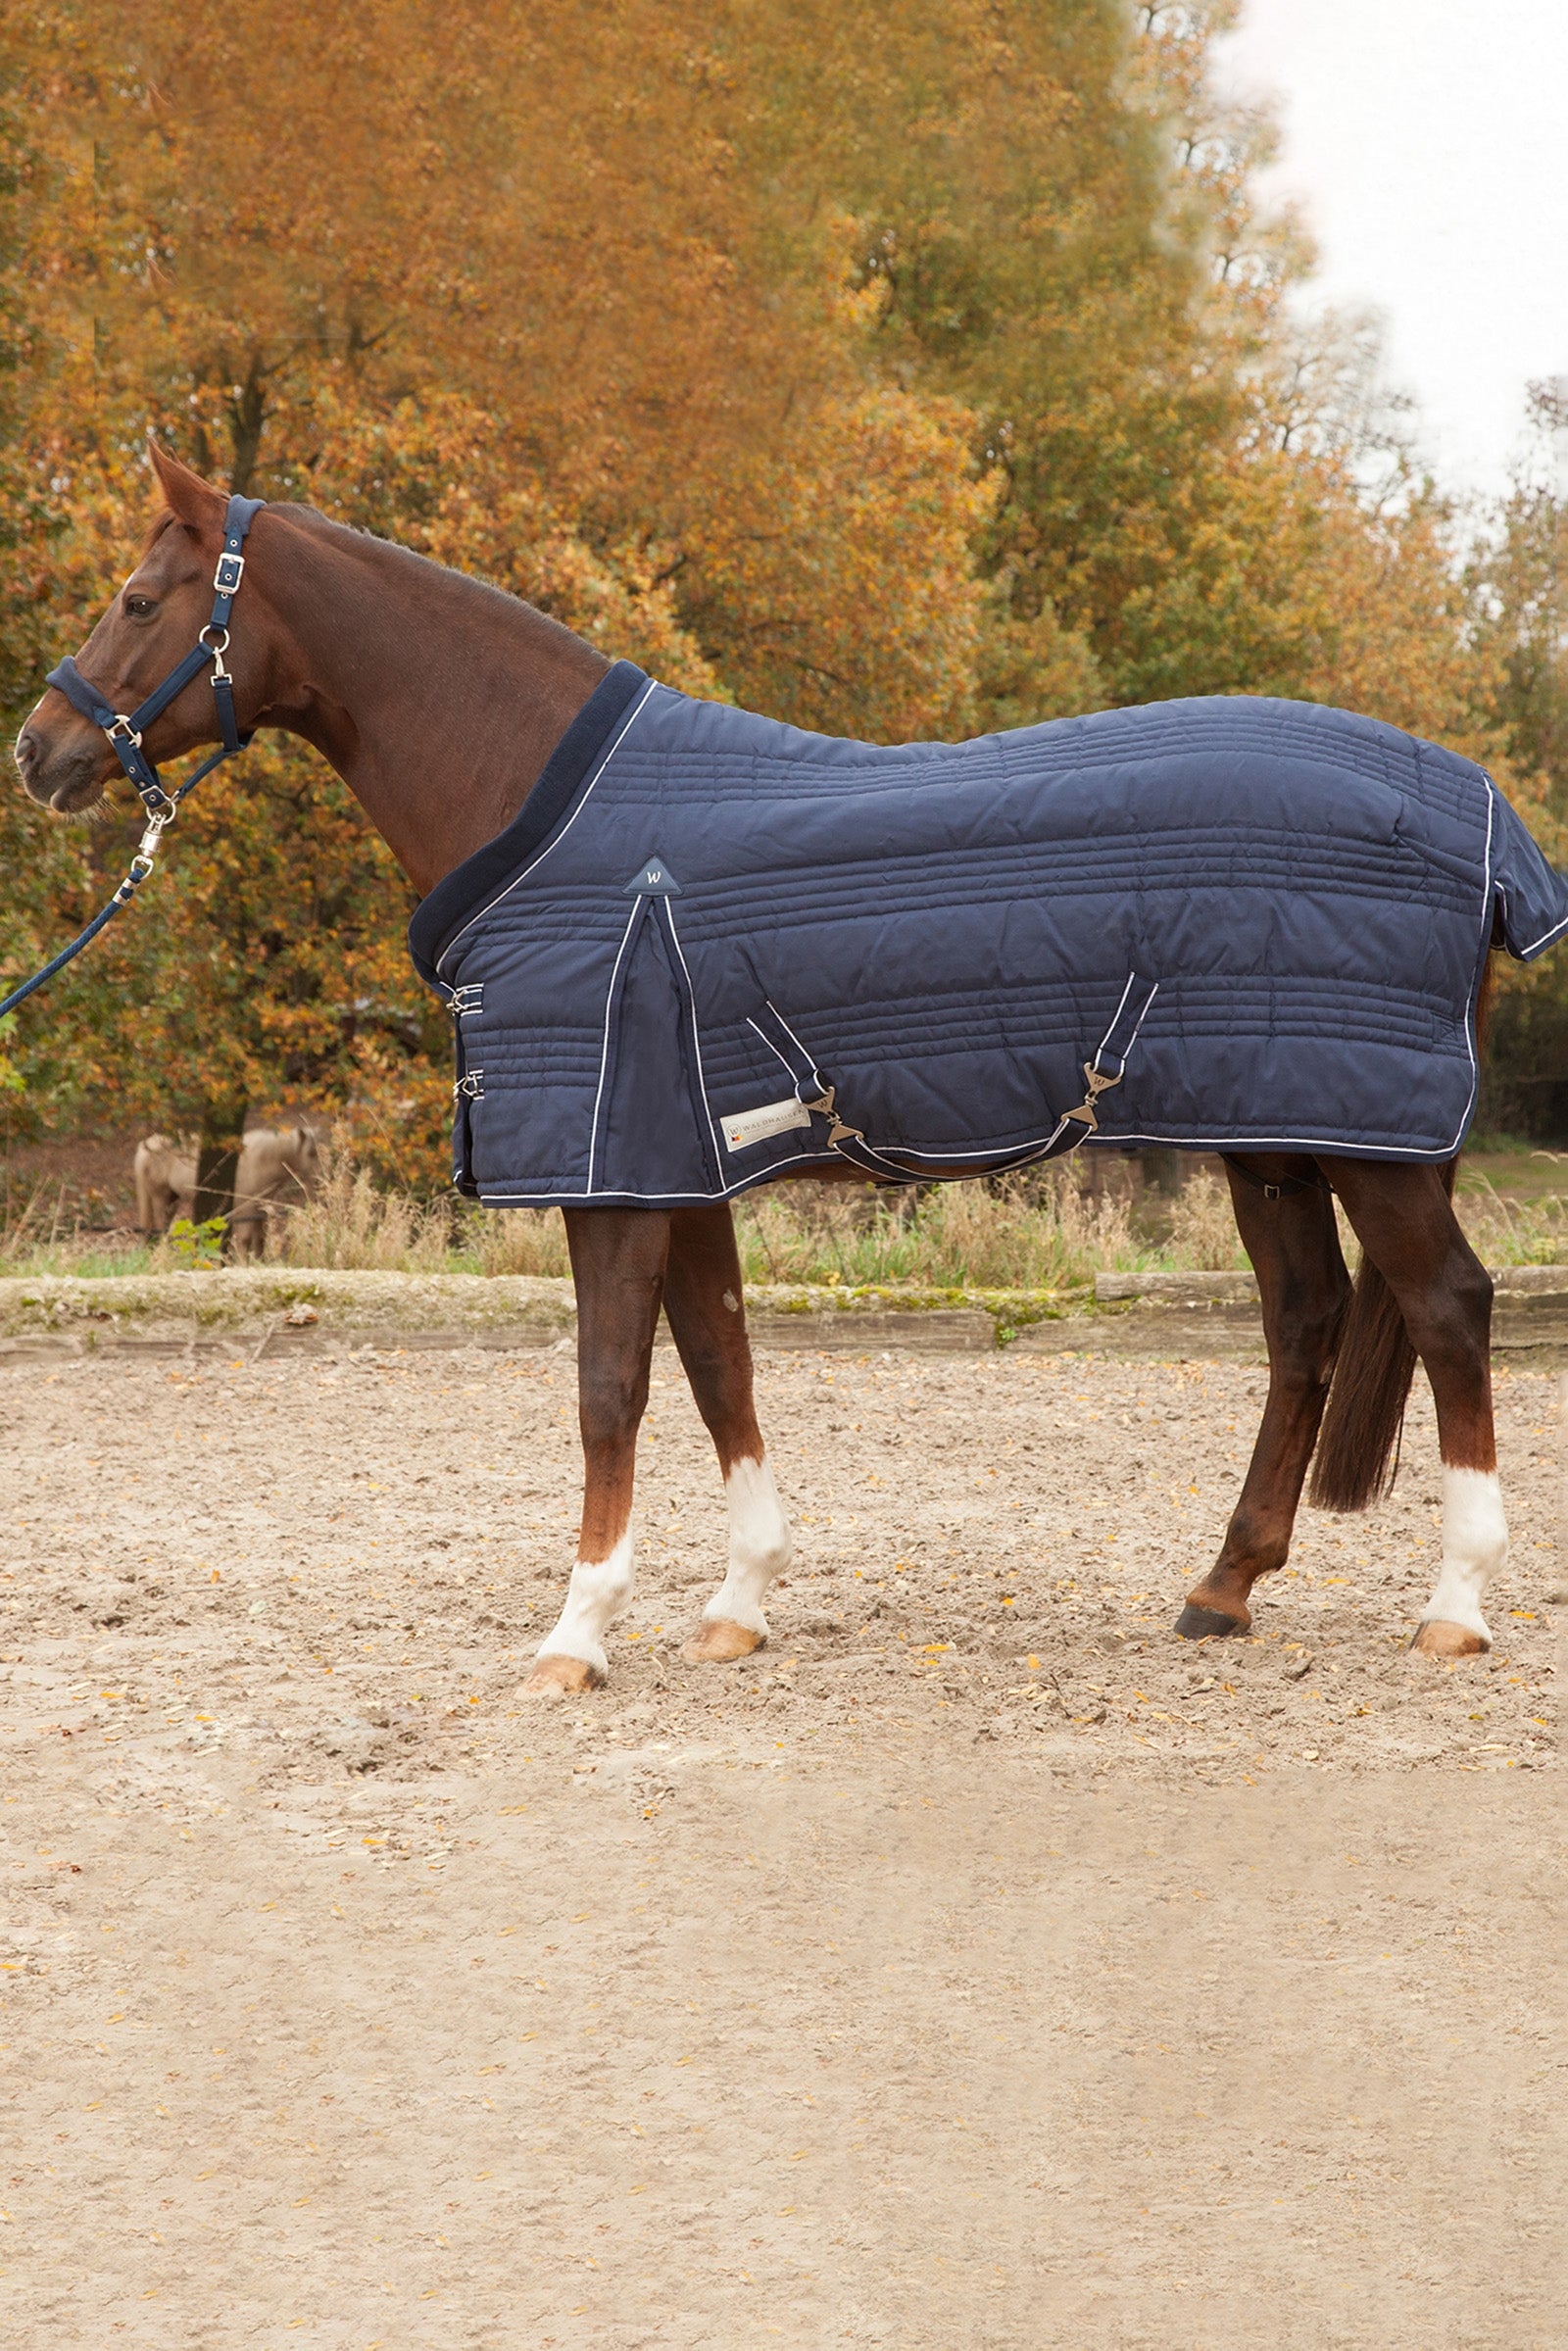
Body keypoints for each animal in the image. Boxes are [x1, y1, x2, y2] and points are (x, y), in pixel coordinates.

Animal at [13, 442, 1524, 1690]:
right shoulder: (676, 1164)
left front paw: (578, 1631)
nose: (41, 750)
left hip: (1369, 1148)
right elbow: (719, 1362)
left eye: (139, 600)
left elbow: (610, 1385)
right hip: (1275, 1135)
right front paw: (737, 1602)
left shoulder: (615, 1171)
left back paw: (1455, 1606)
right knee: (1306, 1320)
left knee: (1447, 1306)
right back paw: (1224, 1584)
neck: (556, 815)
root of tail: (1478, 807)